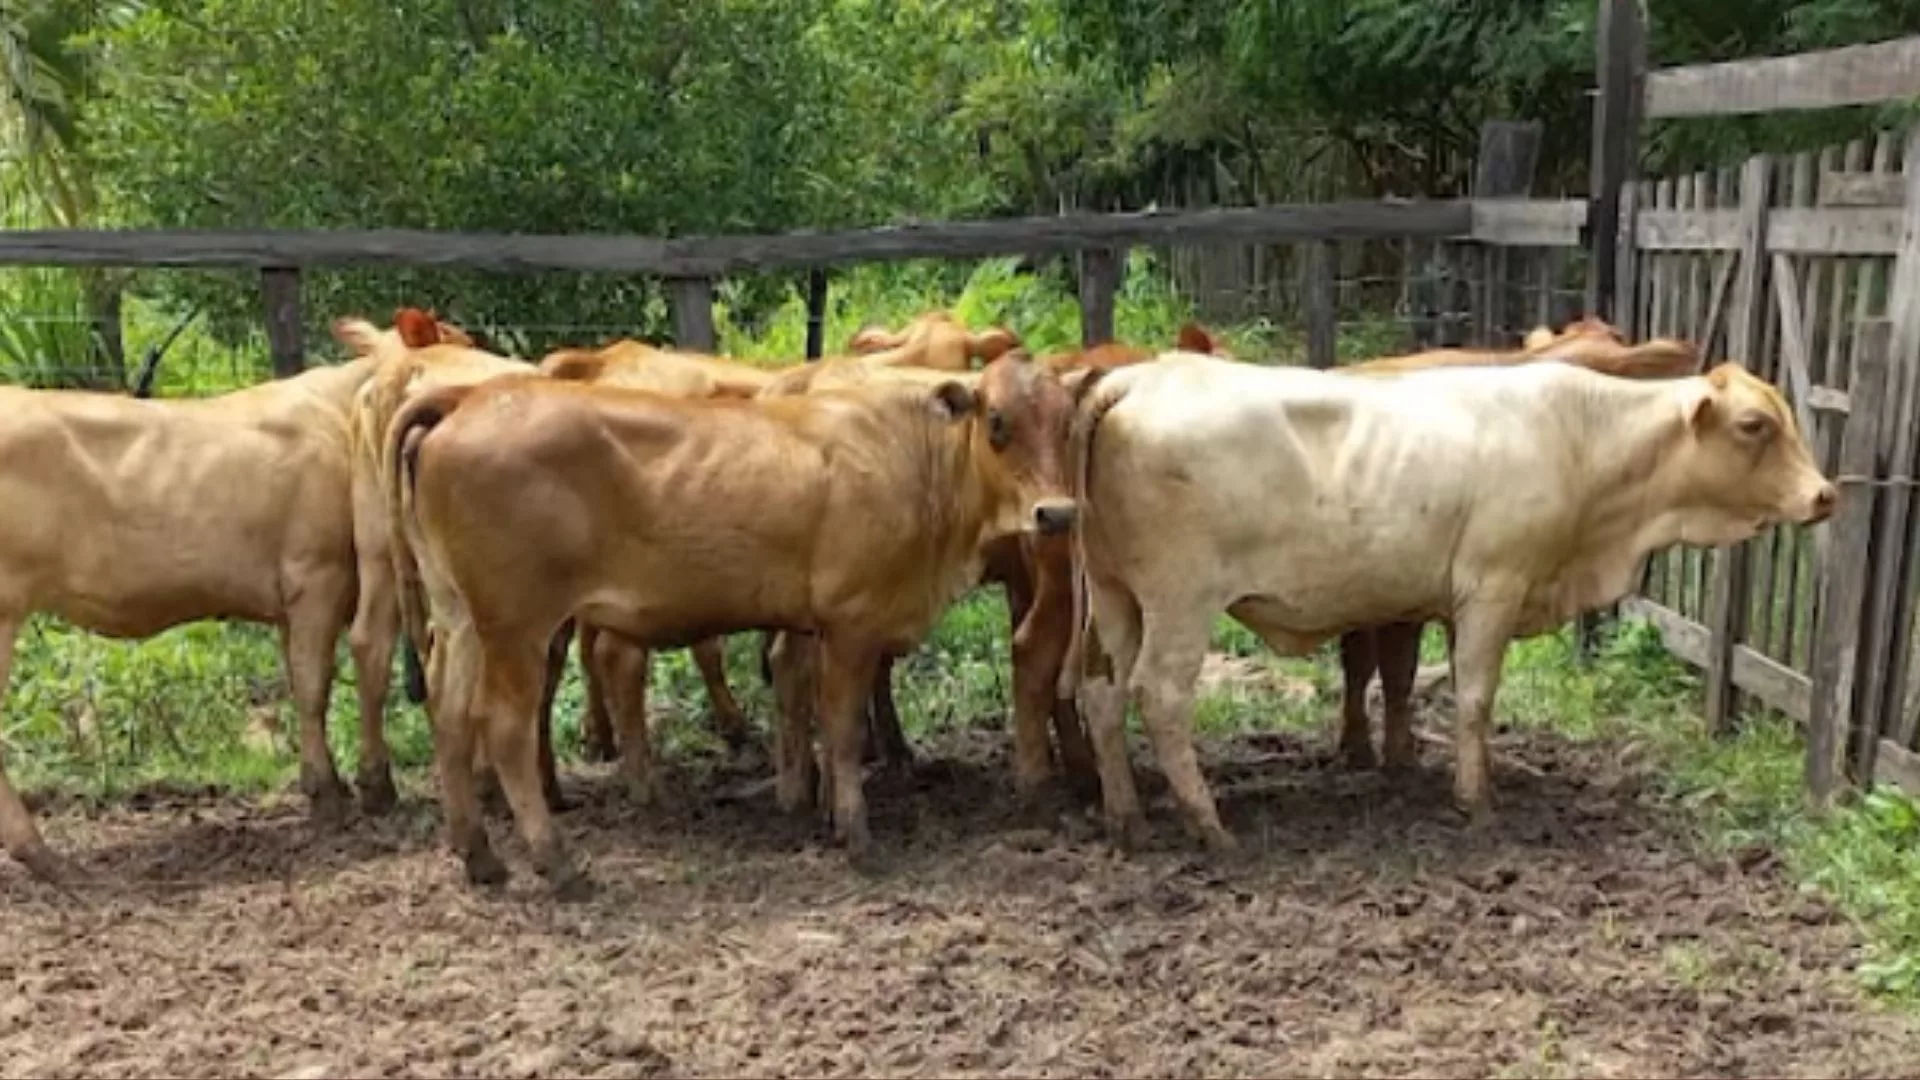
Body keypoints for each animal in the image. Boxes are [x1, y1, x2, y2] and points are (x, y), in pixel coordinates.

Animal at [0, 351, 385, 876]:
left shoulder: (291, 602)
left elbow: (299, 681)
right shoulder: (317, 577)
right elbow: (313, 690)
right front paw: (328, 798)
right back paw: (43, 855)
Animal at [385, 355, 1098, 891]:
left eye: (1067, 425)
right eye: (997, 421)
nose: (1058, 514)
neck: (910, 460)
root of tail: (468, 401)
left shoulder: (811, 625)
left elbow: (804, 706)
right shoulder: (852, 624)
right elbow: (842, 729)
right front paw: (858, 836)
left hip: (460, 619)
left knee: (449, 715)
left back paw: (480, 855)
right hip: (518, 628)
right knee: (503, 727)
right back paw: (556, 862)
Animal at [1067, 353, 1827, 849]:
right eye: (1754, 425)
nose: (1824, 494)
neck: (1581, 437)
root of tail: (1141, 376)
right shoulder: (1494, 584)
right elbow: (1476, 697)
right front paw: (1477, 802)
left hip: (1115, 596)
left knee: (1100, 693)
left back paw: (1127, 817)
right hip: (1181, 600)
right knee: (1160, 695)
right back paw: (1208, 824)